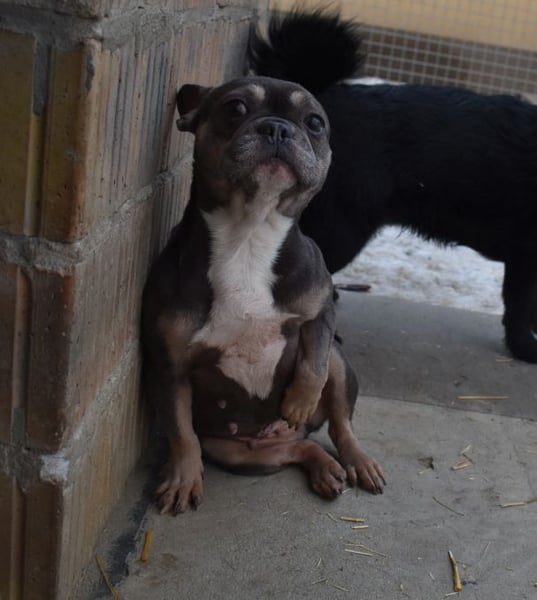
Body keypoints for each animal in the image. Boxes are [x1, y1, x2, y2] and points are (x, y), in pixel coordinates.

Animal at [141, 76, 385, 514]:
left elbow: (313, 365)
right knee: (299, 449)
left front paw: (300, 400)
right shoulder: (170, 367)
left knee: (340, 422)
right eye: (235, 107)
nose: (277, 128)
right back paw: (324, 468)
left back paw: (356, 461)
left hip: (341, 366)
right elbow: (181, 432)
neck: (250, 236)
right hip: (237, 452)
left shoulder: (321, 309)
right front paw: (183, 479)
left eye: (314, 123)